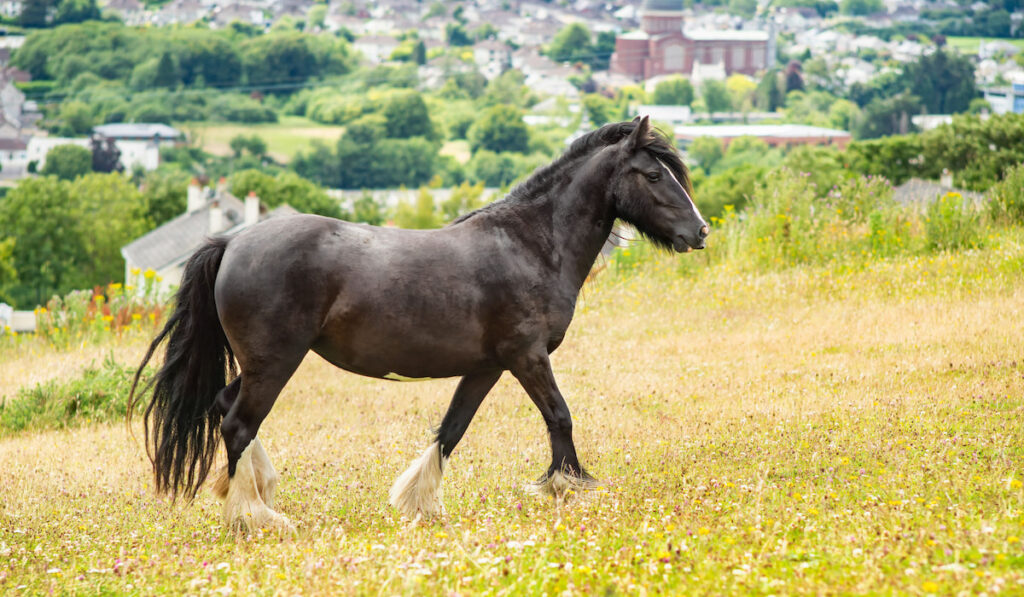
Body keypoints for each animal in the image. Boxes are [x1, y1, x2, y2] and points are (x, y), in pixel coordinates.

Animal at [125, 116, 704, 532]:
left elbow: (451, 430)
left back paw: (255, 492)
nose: (699, 232)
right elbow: (559, 416)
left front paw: (420, 503)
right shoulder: (528, 357)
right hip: (275, 362)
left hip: (260, 364)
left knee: (225, 407)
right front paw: (569, 486)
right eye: (655, 175)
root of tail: (232, 242)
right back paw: (257, 516)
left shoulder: (488, 367)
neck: (530, 243)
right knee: (238, 423)